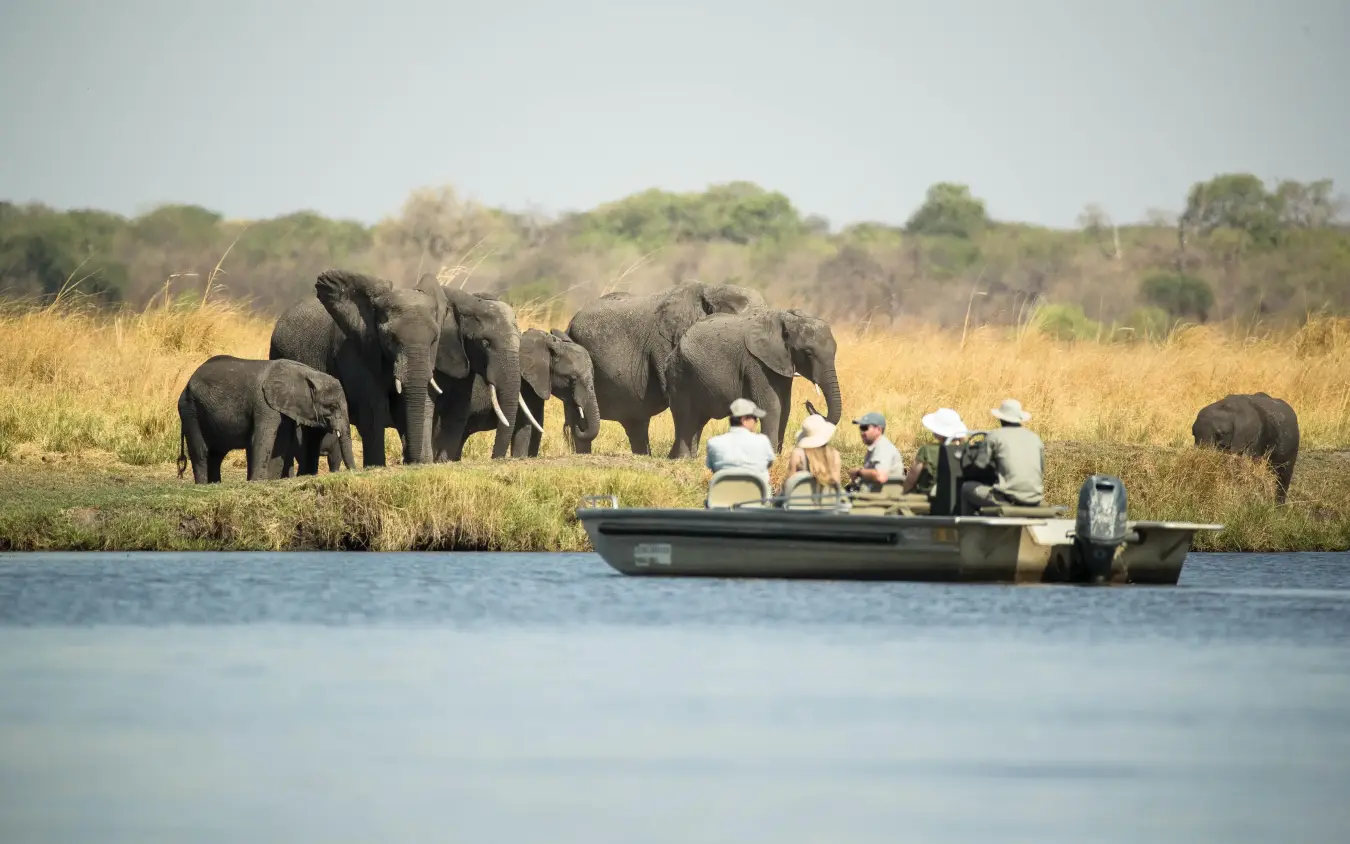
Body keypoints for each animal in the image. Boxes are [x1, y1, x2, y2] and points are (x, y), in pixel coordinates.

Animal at [176, 355, 355, 483]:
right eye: (332, 406)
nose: (355, 472)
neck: (306, 373)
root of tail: (186, 384)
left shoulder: (284, 406)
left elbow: (280, 443)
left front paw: (272, 481)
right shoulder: (264, 403)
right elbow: (264, 437)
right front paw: (258, 482)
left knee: (216, 454)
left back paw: (215, 484)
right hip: (190, 409)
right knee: (201, 451)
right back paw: (203, 485)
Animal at [268, 270, 525, 470]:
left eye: (434, 339)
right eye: (485, 343)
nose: (497, 459)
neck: (469, 301)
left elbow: (451, 412)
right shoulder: (355, 350)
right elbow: (375, 410)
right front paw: (379, 467)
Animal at [661, 307, 842, 458]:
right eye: (808, 353)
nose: (808, 403)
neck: (787, 319)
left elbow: (785, 407)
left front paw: (778, 455)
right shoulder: (756, 363)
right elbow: (771, 406)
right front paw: (771, 457)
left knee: (697, 420)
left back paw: (686, 458)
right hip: (680, 374)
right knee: (685, 417)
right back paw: (683, 459)